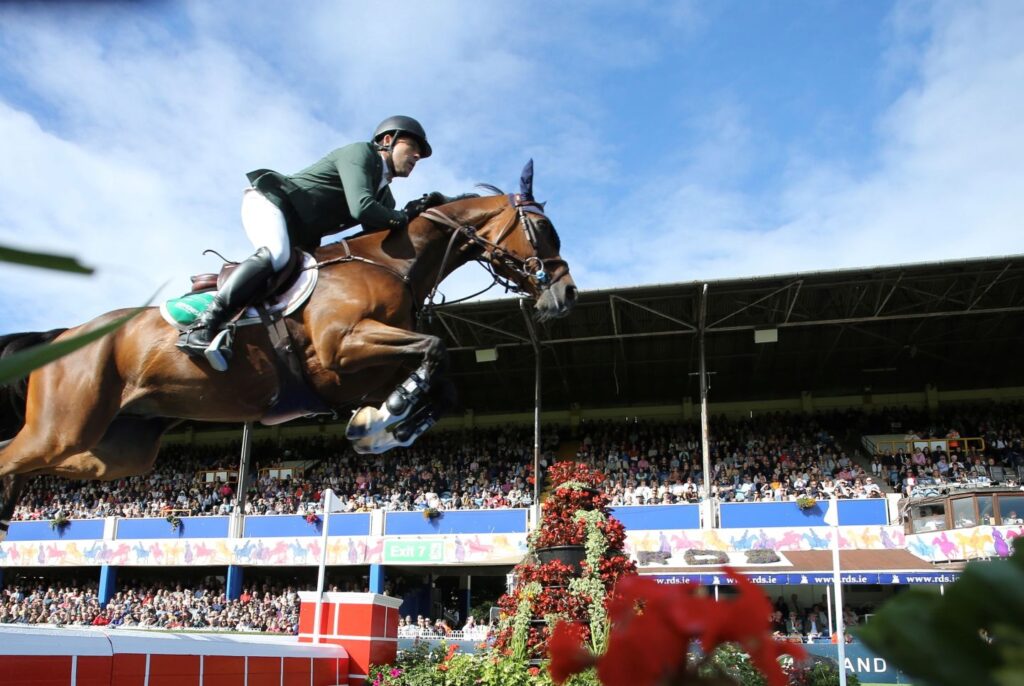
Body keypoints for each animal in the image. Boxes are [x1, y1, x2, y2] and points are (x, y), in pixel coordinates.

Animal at [0, 159, 577, 536]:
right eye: (544, 228)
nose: (567, 295)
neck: (391, 263)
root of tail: (62, 335)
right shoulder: (344, 347)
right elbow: (436, 350)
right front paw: (384, 419)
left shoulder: (365, 367)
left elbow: (444, 383)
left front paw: (382, 427)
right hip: (62, 428)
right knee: (12, 457)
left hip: (118, 453)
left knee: (34, 467)